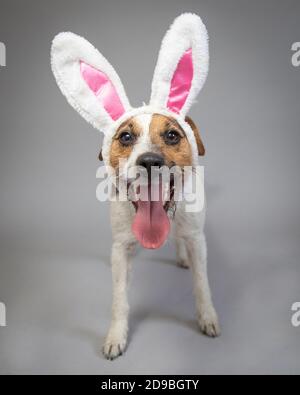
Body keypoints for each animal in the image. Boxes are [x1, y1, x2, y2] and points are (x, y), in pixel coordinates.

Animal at [51, 12, 220, 360]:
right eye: (126, 136)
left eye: (172, 135)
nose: (150, 161)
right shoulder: (121, 249)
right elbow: (119, 298)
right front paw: (116, 336)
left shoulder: (198, 239)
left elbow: (202, 283)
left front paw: (207, 316)